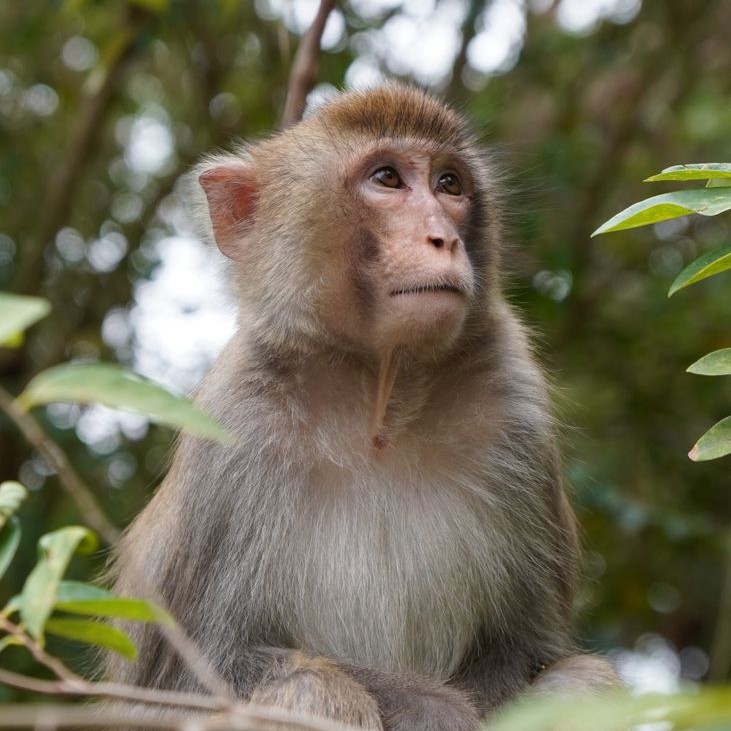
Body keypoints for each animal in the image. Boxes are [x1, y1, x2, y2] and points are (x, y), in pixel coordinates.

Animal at [108, 84, 621, 730]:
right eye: (387, 178)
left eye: (449, 184)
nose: (443, 239)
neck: (378, 404)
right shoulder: (235, 425)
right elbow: (190, 679)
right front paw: (433, 708)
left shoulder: (515, 404)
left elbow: (531, 649)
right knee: (311, 685)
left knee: (583, 679)